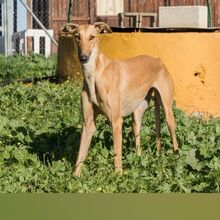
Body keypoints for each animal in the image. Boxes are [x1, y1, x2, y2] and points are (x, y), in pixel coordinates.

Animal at [62, 22, 180, 176]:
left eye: (92, 37)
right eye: (77, 36)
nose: (83, 57)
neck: (95, 74)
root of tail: (158, 60)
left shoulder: (116, 121)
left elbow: (117, 154)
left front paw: (118, 175)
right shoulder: (87, 124)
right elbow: (80, 155)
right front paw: (75, 177)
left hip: (167, 112)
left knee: (173, 136)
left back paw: (176, 159)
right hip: (137, 115)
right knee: (138, 140)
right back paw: (139, 161)